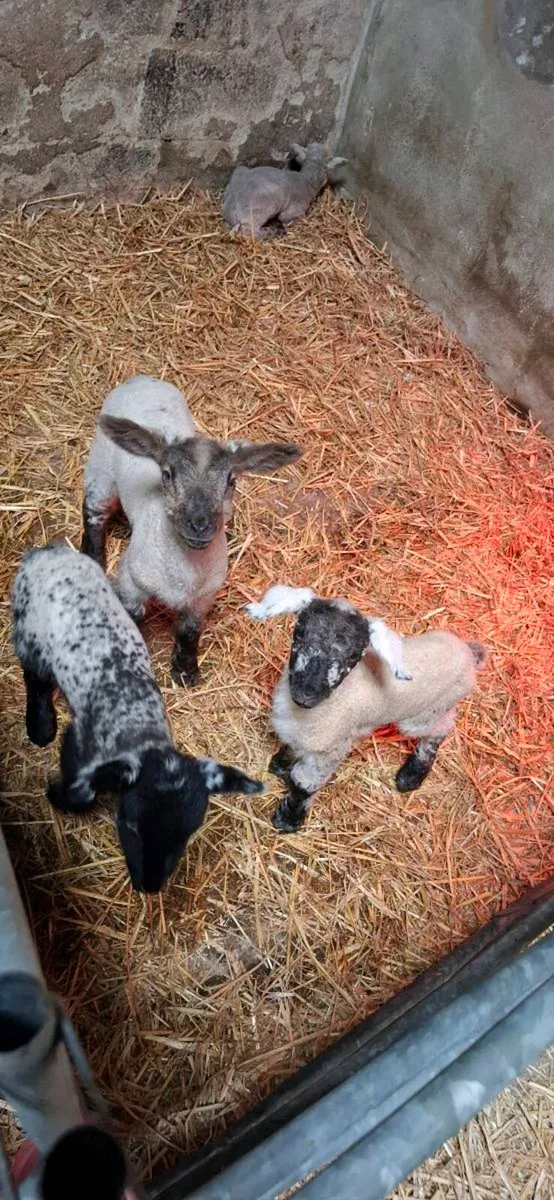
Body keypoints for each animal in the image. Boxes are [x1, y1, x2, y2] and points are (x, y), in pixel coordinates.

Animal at [12, 543, 264, 892]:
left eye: (185, 836)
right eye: (130, 827)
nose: (149, 887)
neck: (136, 722)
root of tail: (47, 551)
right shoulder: (78, 748)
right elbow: (80, 790)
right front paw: (55, 795)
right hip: (28, 626)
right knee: (34, 676)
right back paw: (40, 726)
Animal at [81, 374, 302, 685]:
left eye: (232, 480)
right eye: (167, 474)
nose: (200, 525)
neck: (186, 570)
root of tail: (142, 379)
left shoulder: (203, 596)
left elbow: (190, 630)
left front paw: (185, 671)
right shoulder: (131, 580)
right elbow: (132, 616)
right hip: (101, 467)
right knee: (94, 510)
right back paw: (91, 556)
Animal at [247, 585, 487, 833]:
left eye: (354, 655)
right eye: (299, 633)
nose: (307, 693)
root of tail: (470, 654)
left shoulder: (331, 750)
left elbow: (303, 784)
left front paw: (287, 820)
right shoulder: (302, 736)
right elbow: (291, 751)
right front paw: (278, 766)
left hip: (426, 713)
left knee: (441, 729)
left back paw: (411, 775)